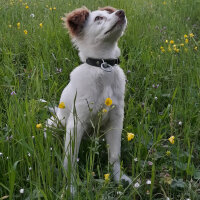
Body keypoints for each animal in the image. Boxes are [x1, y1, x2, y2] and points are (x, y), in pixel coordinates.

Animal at [47, 5, 131, 191]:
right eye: (98, 18)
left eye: (110, 12)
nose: (121, 12)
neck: (103, 66)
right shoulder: (76, 123)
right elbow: (70, 160)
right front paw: (71, 188)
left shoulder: (116, 120)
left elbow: (114, 155)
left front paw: (118, 179)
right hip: (55, 123)